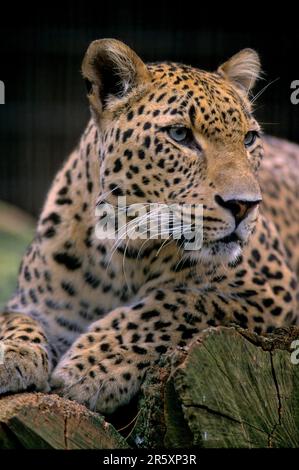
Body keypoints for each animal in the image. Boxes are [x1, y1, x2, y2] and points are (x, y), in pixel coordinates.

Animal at [0, 40, 299, 414]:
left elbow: (180, 304)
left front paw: (94, 366)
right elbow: (15, 320)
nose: (245, 205)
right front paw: (11, 354)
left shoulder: (272, 290)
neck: (120, 252)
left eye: (249, 138)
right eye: (180, 134)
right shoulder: (36, 304)